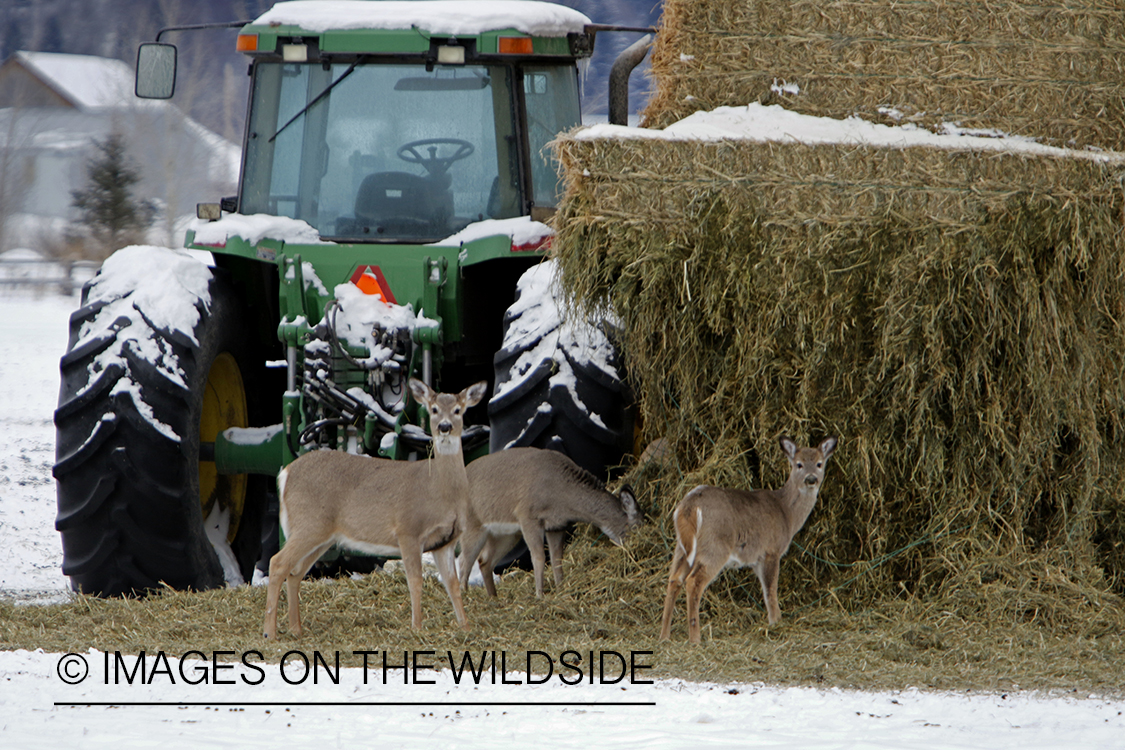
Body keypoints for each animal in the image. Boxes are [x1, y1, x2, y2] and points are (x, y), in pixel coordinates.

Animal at [265, 377, 490, 643]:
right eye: (434, 409)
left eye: (458, 410)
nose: (445, 427)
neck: (439, 489)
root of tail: (285, 474)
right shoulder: (408, 530)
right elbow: (415, 581)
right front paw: (417, 628)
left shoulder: (445, 541)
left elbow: (452, 584)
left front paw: (465, 628)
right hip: (309, 524)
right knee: (277, 563)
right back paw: (269, 633)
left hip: (322, 535)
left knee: (295, 572)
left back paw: (296, 629)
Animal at [452, 445, 639, 598]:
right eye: (637, 527)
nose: (635, 551)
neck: (562, 494)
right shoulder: (527, 516)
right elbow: (539, 558)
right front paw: (540, 595)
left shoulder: (556, 526)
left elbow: (557, 559)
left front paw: (561, 590)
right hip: (472, 526)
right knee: (463, 560)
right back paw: (465, 596)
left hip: (506, 534)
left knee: (484, 561)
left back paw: (493, 597)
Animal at [657, 436, 837, 643]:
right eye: (798, 464)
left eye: (819, 463)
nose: (811, 479)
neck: (787, 513)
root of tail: (689, 506)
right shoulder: (771, 550)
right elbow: (771, 590)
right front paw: (776, 624)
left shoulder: (756, 559)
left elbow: (766, 592)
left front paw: (774, 622)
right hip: (715, 546)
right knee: (693, 582)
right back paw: (695, 639)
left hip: (682, 547)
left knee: (674, 579)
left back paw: (664, 636)